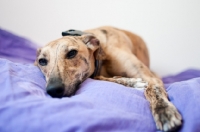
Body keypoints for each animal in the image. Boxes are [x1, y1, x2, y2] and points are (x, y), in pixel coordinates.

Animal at [35, 25, 182, 131]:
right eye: (42, 61)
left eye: (72, 53)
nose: (53, 90)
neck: (101, 54)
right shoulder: (94, 74)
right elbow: (102, 78)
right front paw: (132, 82)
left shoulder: (151, 77)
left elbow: (153, 90)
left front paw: (164, 112)